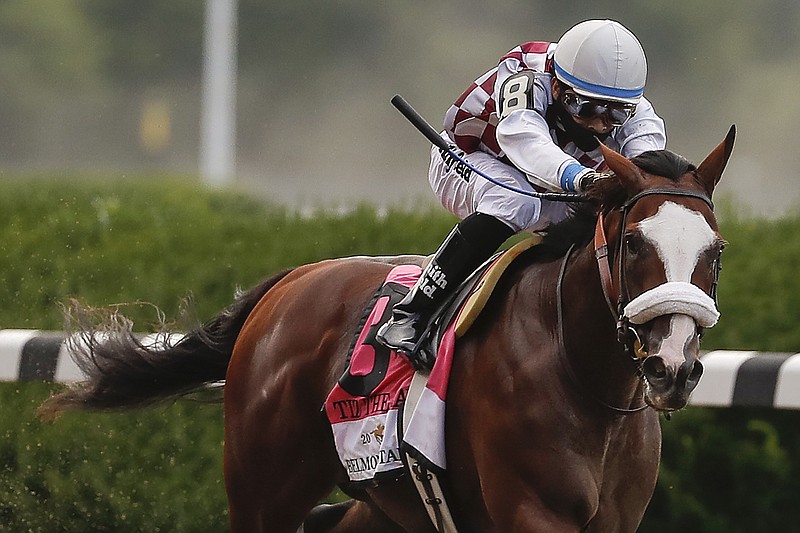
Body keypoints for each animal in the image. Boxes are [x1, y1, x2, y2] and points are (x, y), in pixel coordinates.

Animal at [40, 129, 736, 532]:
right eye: (634, 241)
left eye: (717, 249)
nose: (674, 366)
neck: (584, 377)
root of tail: (290, 281)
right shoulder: (535, 513)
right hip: (262, 490)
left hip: (386, 503)